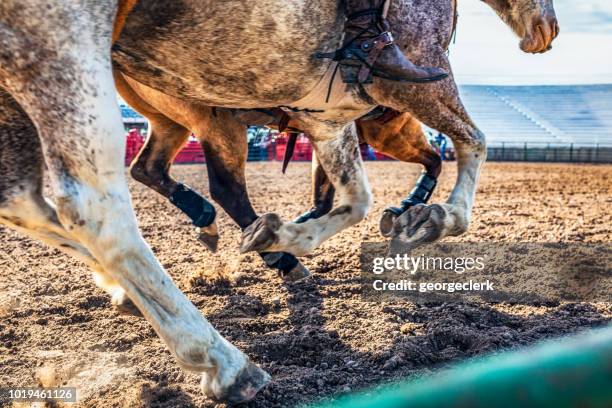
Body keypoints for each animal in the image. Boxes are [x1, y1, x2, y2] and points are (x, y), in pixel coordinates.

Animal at [0, 0, 556, 402]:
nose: (545, 31)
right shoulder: (398, 95)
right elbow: (455, 150)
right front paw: (425, 216)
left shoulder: (333, 116)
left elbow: (344, 190)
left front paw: (385, 215)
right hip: (85, 60)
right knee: (115, 205)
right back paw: (230, 351)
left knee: (52, 195)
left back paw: (143, 278)